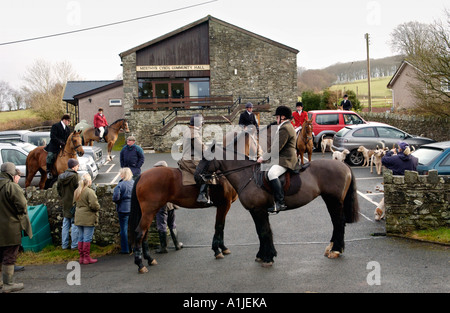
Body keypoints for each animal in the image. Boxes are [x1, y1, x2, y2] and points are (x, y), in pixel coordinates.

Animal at [199, 129, 360, 266]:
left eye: (206, 159)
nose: (197, 175)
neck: (247, 175)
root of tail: (344, 166)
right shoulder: (257, 210)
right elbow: (262, 231)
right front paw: (263, 255)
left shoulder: (258, 209)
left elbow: (263, 231)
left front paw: (267, 257)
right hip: (330, 200)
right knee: (336, 223)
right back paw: (332, 249)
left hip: (334, 201)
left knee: (339, 222)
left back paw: (336, 250)